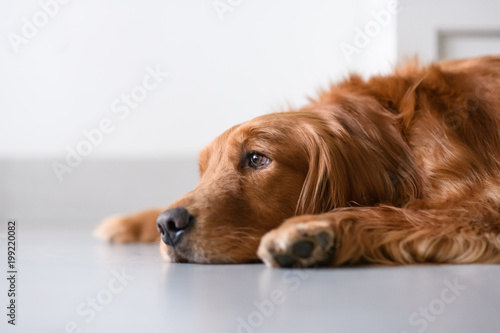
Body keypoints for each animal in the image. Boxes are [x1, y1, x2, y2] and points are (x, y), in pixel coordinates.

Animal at [94, 55, 500, 268]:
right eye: (203, 171)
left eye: (257, 158)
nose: (169, 225)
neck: (398, 131)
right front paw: (132, 221)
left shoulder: (485, 202)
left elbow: (403, 213)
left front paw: (315, 229)